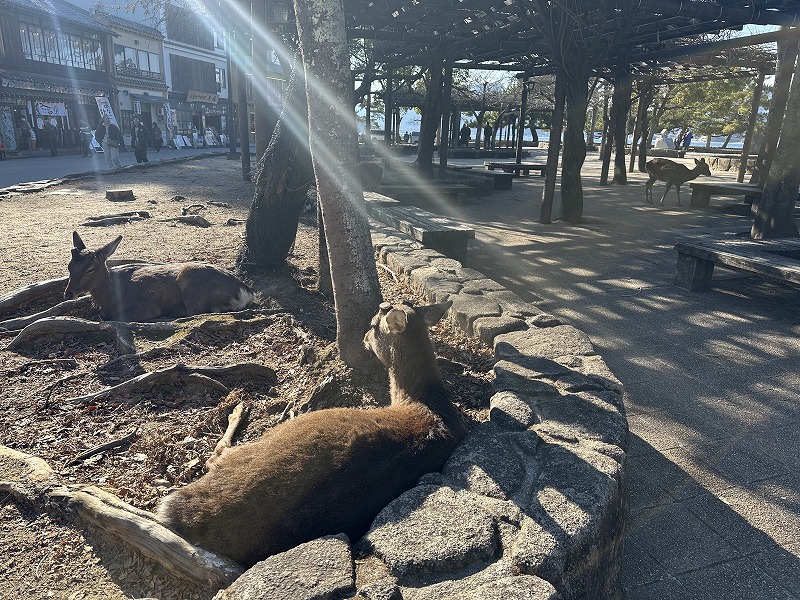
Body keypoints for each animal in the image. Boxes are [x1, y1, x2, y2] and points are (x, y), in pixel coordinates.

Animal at [64, 231, 255, 324]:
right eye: (69, 266)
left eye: (90, 269)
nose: (68, 293)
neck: (112, 297)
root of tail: (246, 291)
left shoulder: (146, 307)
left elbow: (114, 318)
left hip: (193, 287)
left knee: (195, 312)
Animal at [155, 300, 468, 568]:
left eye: (373, 324)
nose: (364, 336)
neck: (425, 401)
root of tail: (180, 515)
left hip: (260, 444)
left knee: (217, 455)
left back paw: (240, 408)